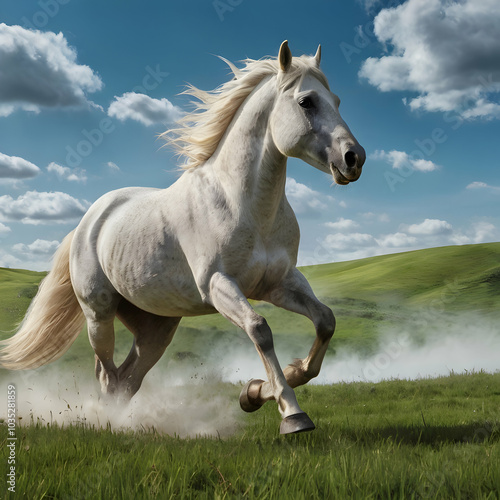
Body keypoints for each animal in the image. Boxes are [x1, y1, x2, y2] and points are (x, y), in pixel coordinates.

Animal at [1, 42, 366, 434]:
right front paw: (291, 414)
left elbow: (325, 322)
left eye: (337, 100)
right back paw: (112, 425)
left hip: (156, 327)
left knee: (128, 379)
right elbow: (260, 329)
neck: (244, 205)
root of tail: (89, 221)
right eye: (306, 102)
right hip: (99, 315)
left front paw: (255, 392)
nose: (354, 158)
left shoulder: (279, 284)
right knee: (107, 374)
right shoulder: (219, 285)